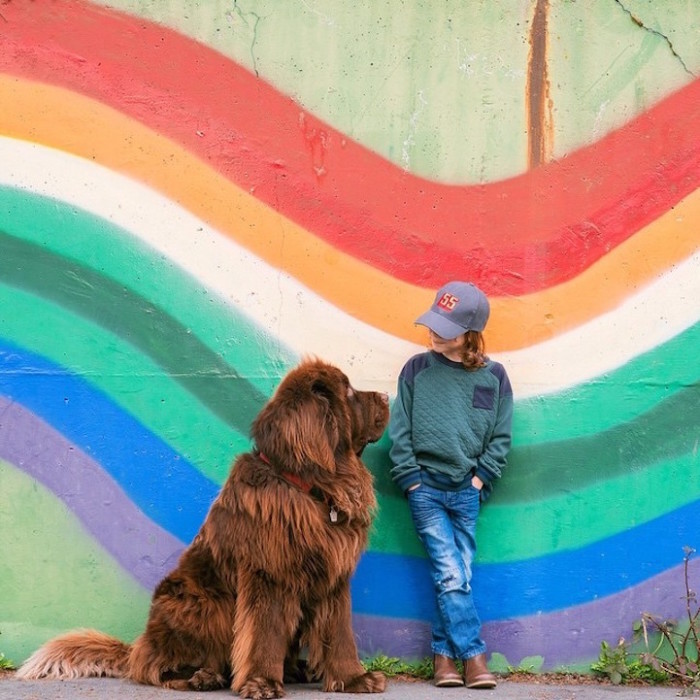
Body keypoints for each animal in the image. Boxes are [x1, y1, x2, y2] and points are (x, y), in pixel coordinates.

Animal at [17, 358, 388, 696]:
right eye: (349, 392)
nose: (386, 395)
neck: (308, 487)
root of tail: (138, 645)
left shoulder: (334, 579)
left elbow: (340, 635)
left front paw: (354, 679)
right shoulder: (267, 576)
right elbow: (264, 634)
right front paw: (261, 682)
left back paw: (294, 670)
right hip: (197, 600)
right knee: (155, 666)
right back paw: (204, 676)